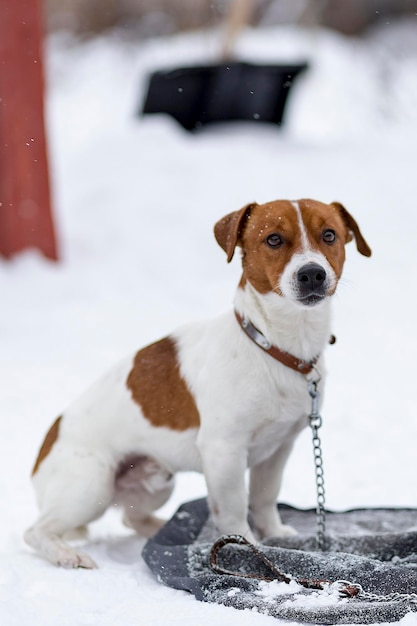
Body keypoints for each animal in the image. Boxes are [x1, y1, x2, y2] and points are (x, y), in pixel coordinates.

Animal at [24, 199, 368, 564]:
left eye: (329, 235)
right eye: (273, 239)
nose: (312, 273)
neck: (273, 347)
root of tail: (46, 445)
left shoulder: (278, 449)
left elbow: (264, 498)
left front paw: (273, 534)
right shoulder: (224, 451)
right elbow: (234, 510)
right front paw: (247, 547)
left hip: (157, 483)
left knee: (132, 517)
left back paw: (162, 529)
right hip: (91, 485)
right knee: (35, 531)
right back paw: (66, 555)